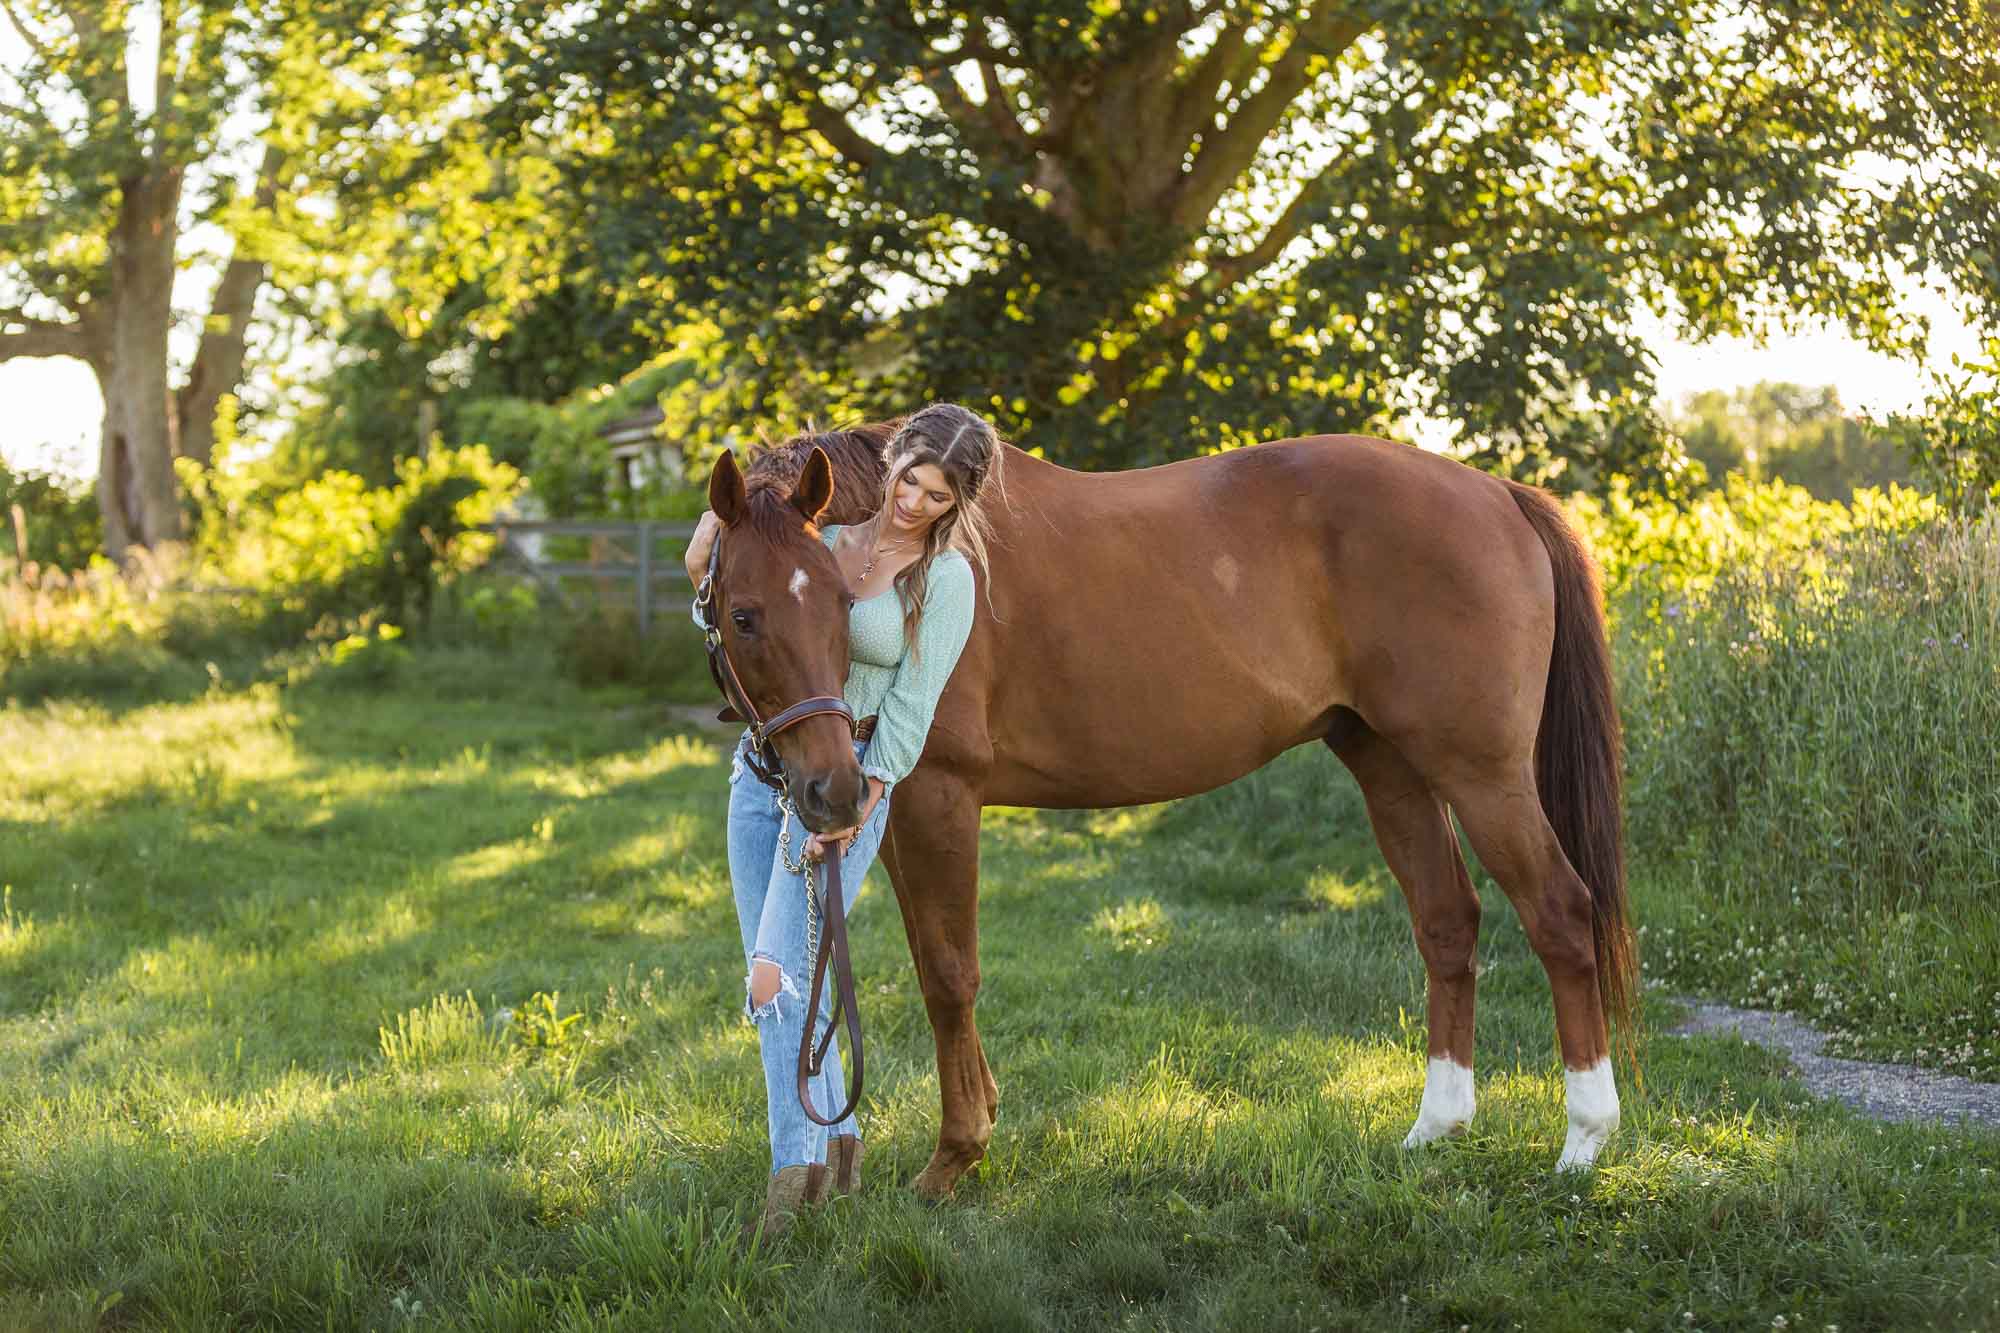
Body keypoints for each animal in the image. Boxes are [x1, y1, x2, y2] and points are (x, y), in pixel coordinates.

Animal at [708, 426, 1640, 1184]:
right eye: (745, 615)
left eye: (840, 602)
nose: (826, 788)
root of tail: (1498, 493)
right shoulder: (892, 805)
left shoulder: (939, 793)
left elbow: (948, 973)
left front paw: (956, 1154)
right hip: (1392, 767)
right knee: (1448, 922)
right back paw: (1436, 1127)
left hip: (1483, 772)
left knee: (1560, 913)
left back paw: (1583, 1139)